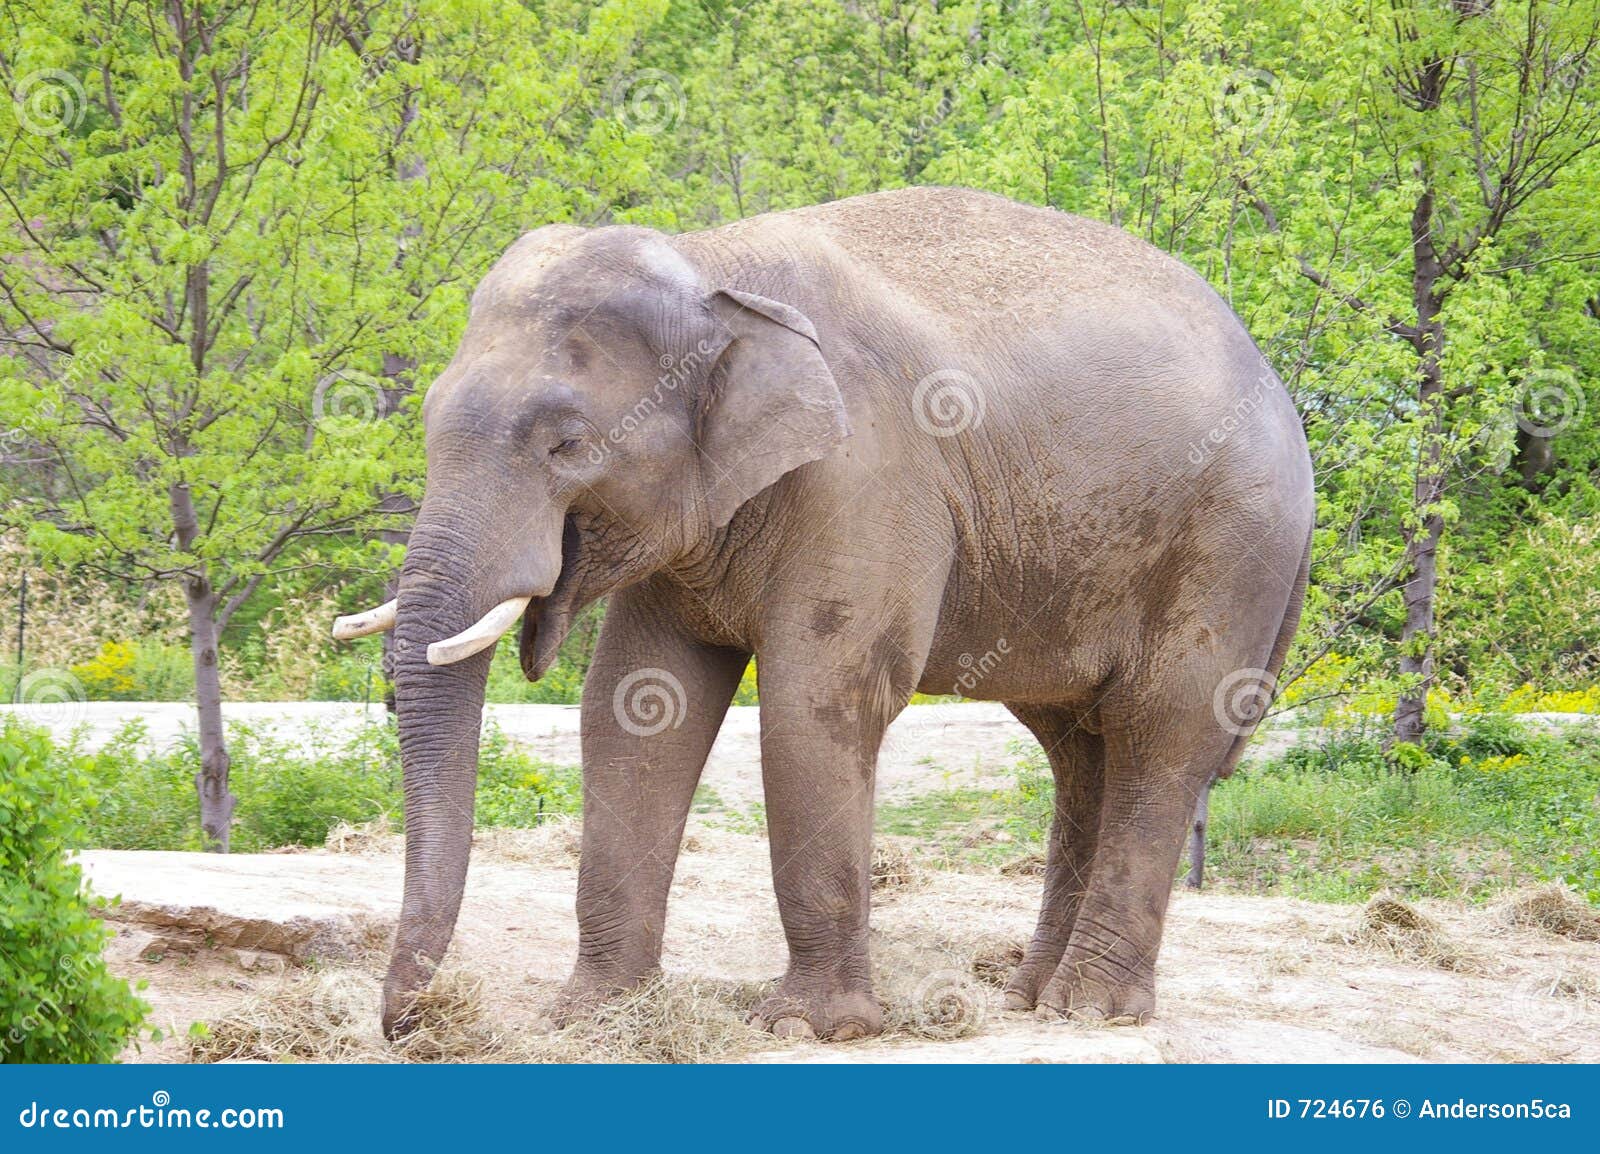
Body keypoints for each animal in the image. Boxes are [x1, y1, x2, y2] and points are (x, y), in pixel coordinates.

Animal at [332, 186, 1314, 1041]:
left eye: (565, 444)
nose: (412, 1024)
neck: (712, 265)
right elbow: (636, 706)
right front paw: (595, 1018)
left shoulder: (867, 474)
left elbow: (820, 701)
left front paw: (811, 1027)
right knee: (1078, 744)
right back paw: (1031, 998)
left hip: (1231, 544)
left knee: (1159, 729)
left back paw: (1089, 1011)